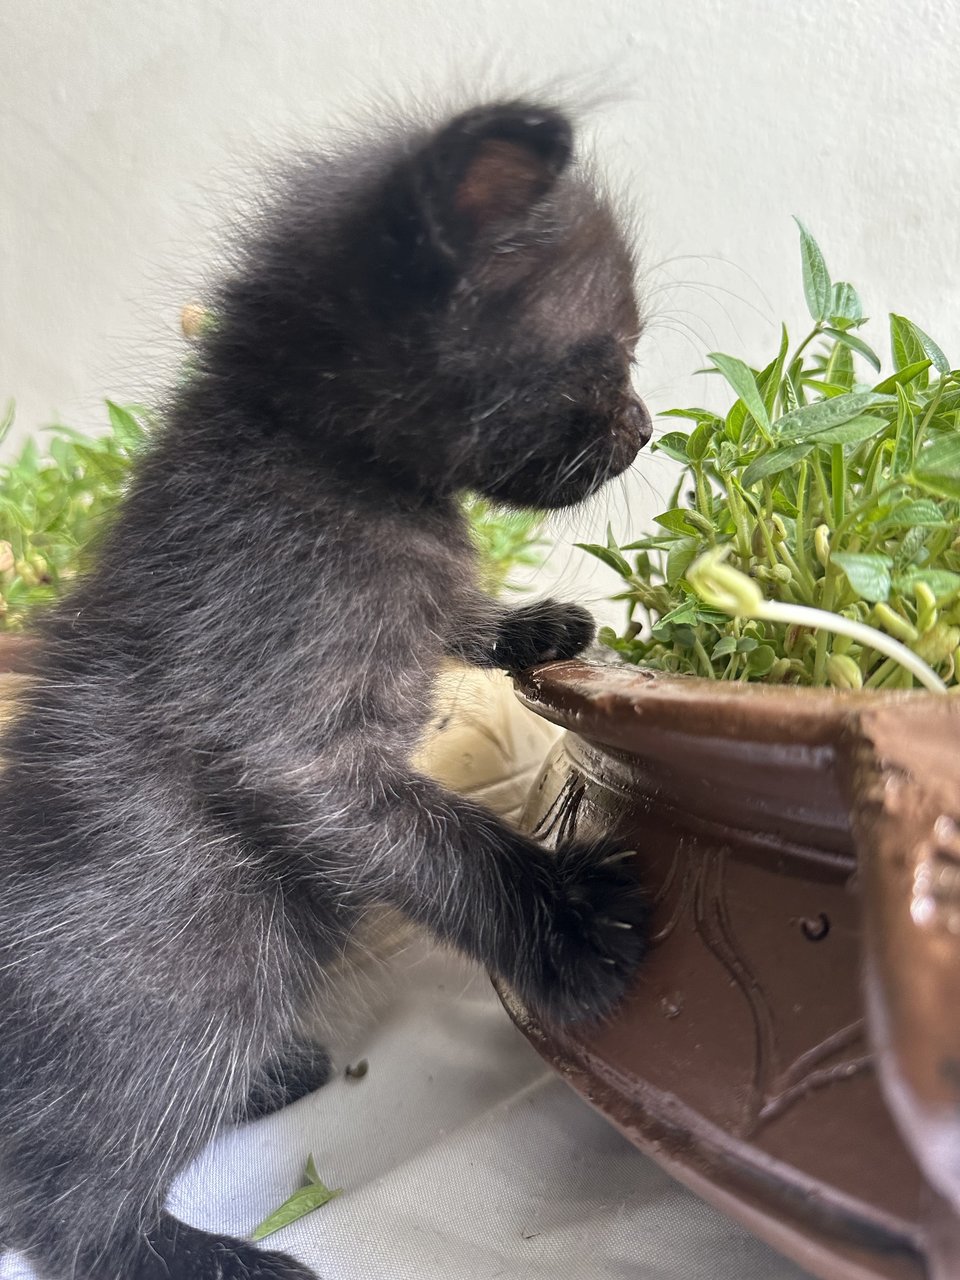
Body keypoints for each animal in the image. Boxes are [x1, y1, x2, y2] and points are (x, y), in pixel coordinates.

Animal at [0, 102, 655, 1280]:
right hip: (208, 965)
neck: (317, 451)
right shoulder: (293, 745)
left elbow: (454, 614)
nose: (647, 425)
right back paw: (217, 1255)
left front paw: (535, 623)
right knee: (70, 1200)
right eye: (611, 351)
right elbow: (449, 843)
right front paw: (570, 923)